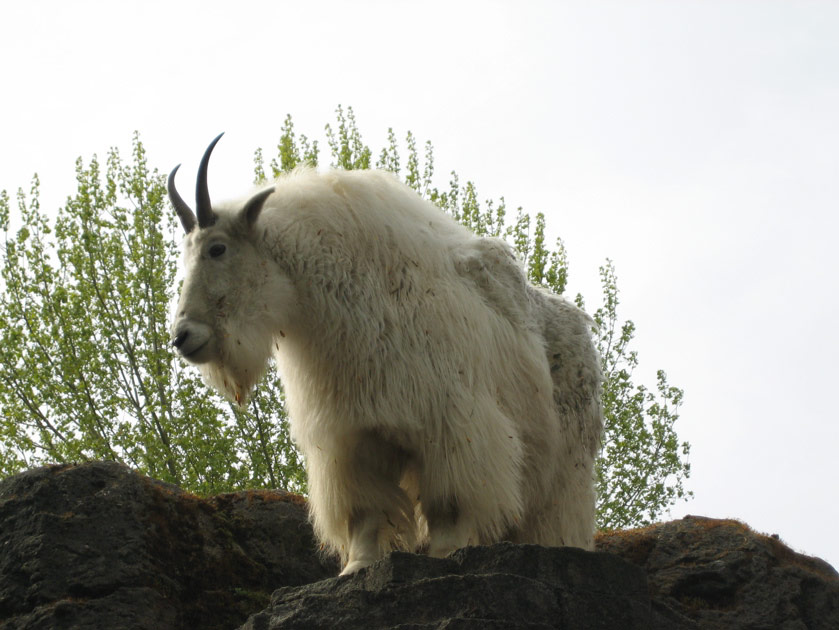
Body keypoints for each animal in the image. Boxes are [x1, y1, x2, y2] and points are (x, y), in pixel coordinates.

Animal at [169, 135, 604, 576]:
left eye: (217, 249)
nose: (183, 337)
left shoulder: (453, 422)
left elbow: (450, 501)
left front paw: (447, 553)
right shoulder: (355, 435)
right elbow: (366, 510)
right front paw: (357, 567)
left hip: (567, 465)